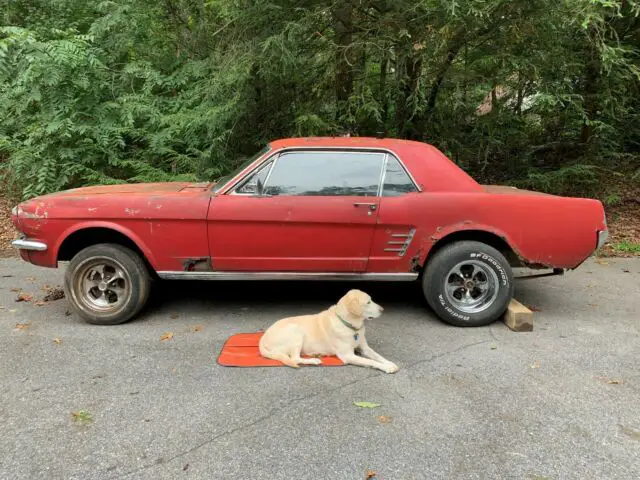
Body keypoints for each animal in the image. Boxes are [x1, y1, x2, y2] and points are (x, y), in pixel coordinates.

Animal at [258, 286, 398, 374]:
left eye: (371, 300)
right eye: (368, 302)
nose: (382, 309)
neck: (349, 325)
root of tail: (262, 340)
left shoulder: (365, 348)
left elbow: (378, 356)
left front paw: (390, 363)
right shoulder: (348, 355)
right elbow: (370, 361)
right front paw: (386, 367)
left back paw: (317, 354)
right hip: (296, 331)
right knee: (295, 359)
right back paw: (314, 360)